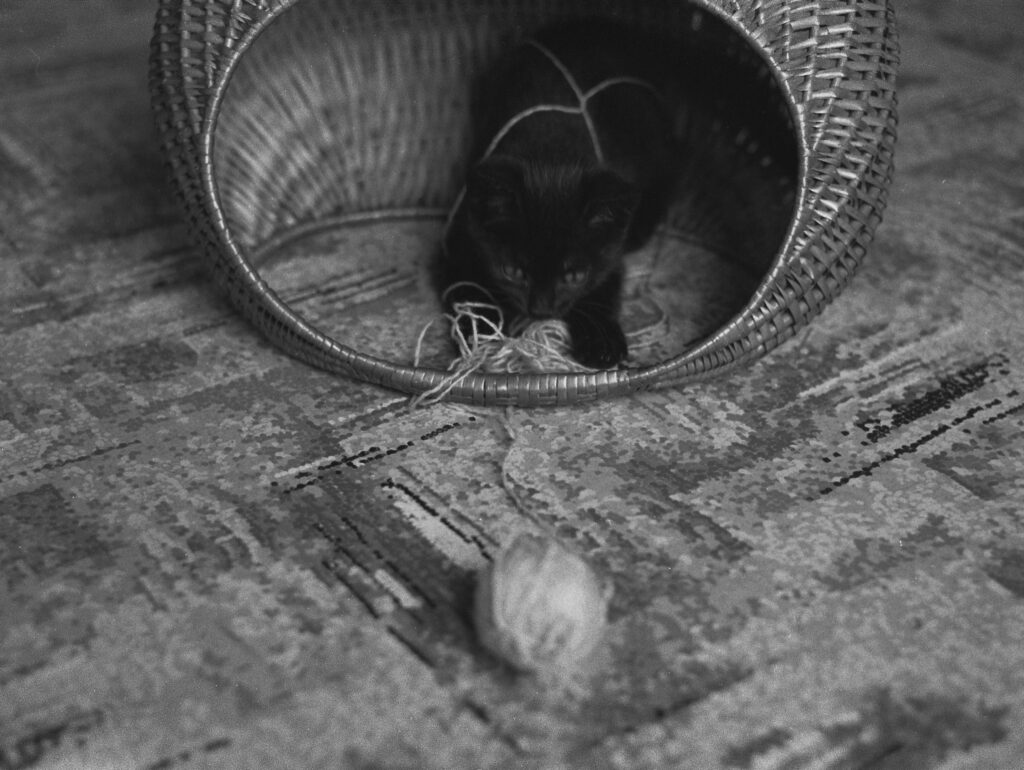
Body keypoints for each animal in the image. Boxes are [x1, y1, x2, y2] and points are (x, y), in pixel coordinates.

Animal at [437, 18, 680, 369]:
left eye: (574, 275)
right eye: (513, 272)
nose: (541, 310)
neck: (550, 154)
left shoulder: (611, 252)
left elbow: (603, 286)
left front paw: (601, 338)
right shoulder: (456, 238)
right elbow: (469, 289)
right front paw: (481, 332)